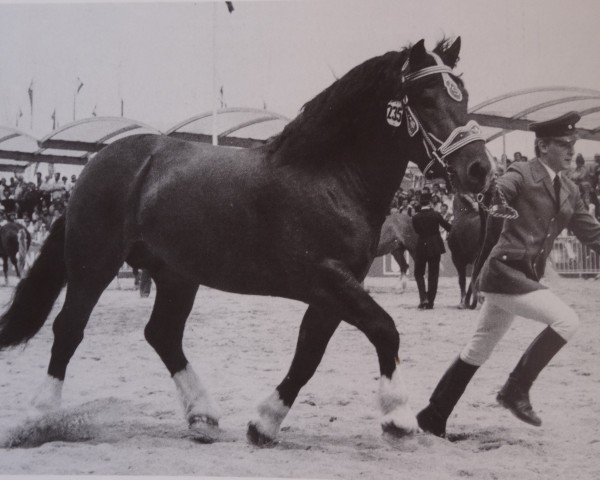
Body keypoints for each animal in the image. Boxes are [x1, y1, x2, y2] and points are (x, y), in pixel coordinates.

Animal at [0, 38, 490, 446]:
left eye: (463, 95)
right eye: (426, 98)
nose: (480, 169)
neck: (330, 178)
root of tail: (97, 163)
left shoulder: (336, 289)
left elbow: (309, 352)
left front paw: (264, 423)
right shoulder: (325, 278)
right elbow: (384, 328)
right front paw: (398, 417)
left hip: (176, 275)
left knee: (162, 334)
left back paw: (202, 416)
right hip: (93, 263)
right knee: (69, 328)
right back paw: (37, 417)